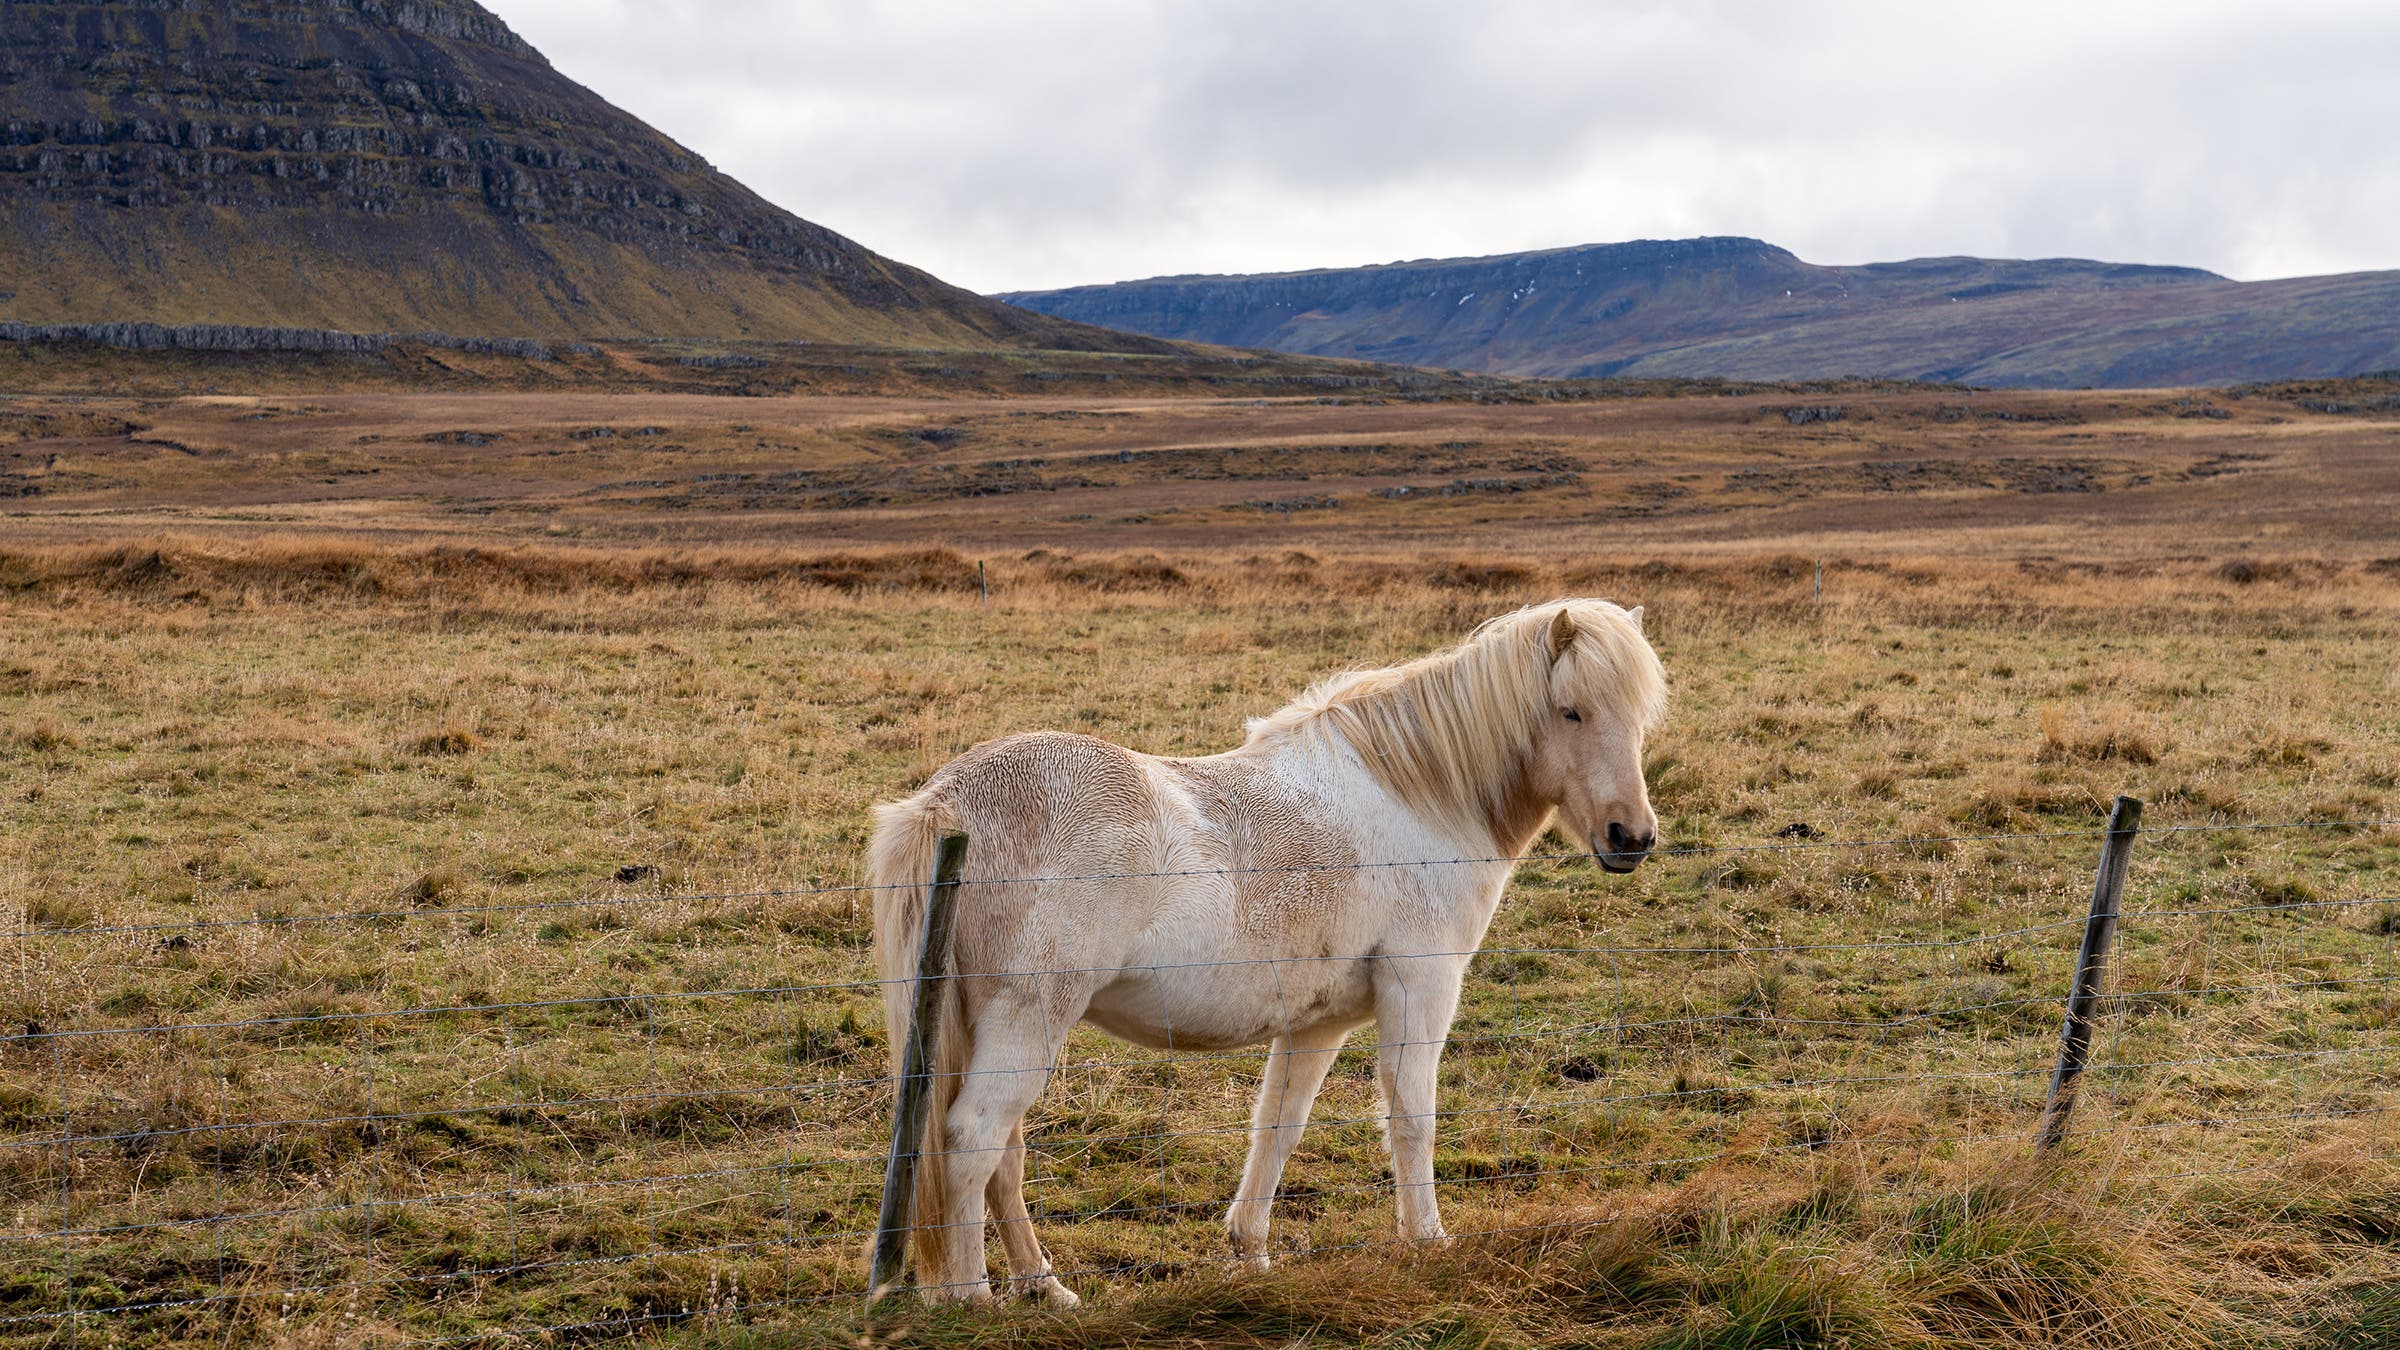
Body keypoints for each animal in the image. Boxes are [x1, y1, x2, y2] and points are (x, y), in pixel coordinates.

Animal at [867, 598, 1667, 1306]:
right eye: (1571, 711)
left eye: (1638, 717)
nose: (1631, 837)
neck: (1417, 797)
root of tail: (948, 802)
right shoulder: (1421, 988)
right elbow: (1412, 1115)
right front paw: (1428, 1242)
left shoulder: (1317, 1022)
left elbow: (1278, 1127)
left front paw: (1249, 1250)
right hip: (1026, 1023)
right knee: (972, 1141)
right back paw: (973, 1296)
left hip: (989, 1031)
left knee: (1000, 1156)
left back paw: (1043, 1286)